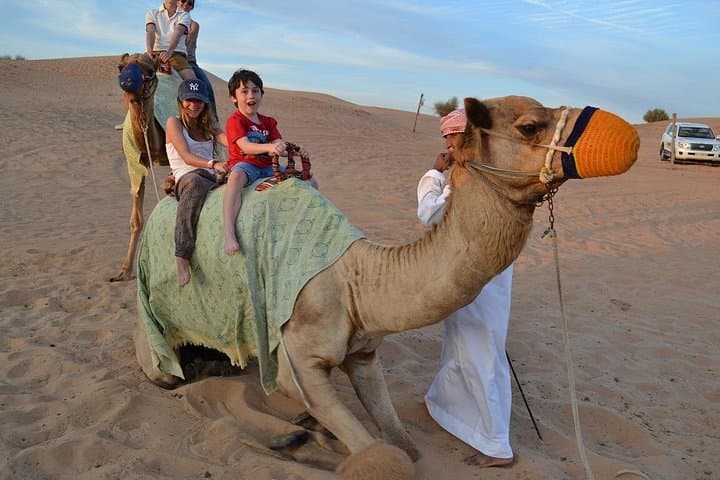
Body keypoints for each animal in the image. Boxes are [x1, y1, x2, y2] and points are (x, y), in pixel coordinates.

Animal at [134, 95, 639, 479]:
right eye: (530, 126)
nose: (629, 140)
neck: (358, 278)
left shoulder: (363, 354)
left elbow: (404, 444)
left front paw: (316, 434)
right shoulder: (300, 355)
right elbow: (385, 457)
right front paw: (313, 438)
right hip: (154, 322)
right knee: (174, 372)